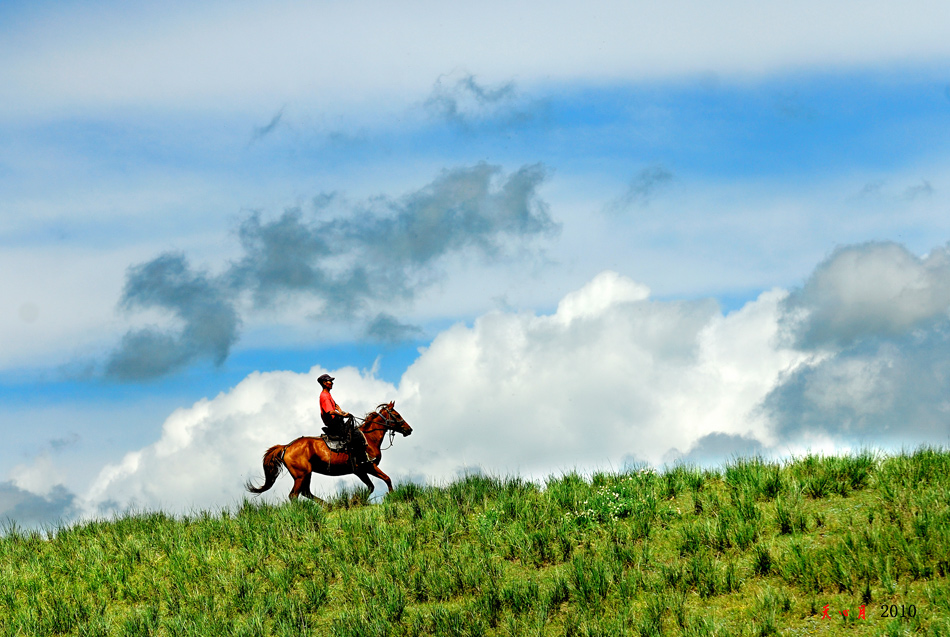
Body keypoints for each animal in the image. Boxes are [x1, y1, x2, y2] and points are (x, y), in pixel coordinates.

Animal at [245, 402, 412, 502]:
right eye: (397, 415)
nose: (409, 430)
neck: (369, 439)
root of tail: (287, 446)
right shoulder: (366, 467)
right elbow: (385, 479)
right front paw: (391, 496)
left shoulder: (362, 470)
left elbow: (373, 485)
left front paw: (356, 501)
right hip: (301, 475)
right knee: (294, 495)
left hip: (306, 474)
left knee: (306, 492)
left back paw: (327, 506)